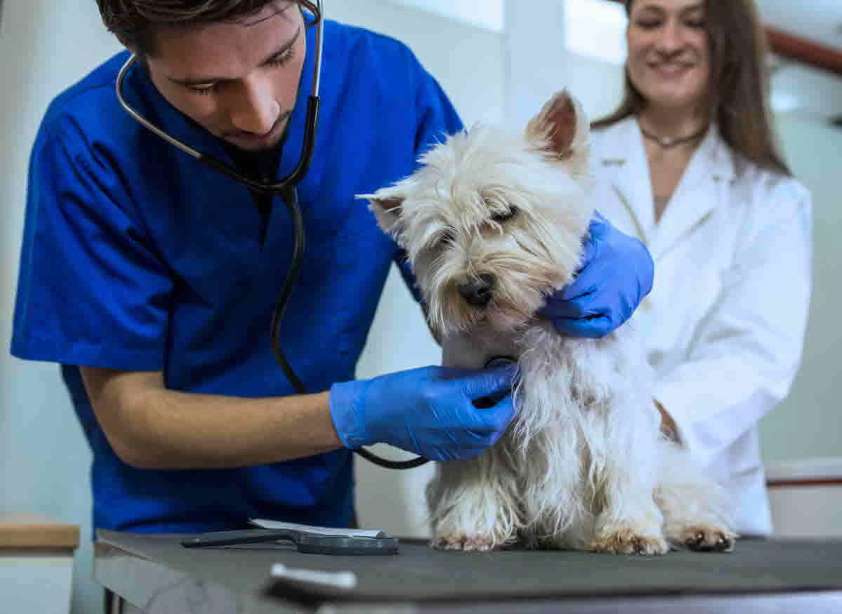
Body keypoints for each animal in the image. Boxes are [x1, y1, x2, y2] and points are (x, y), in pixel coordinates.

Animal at [360, 91, 736, 560]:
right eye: (442, 237)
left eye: (504, 212)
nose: (474, 288)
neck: (531, 318)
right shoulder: (472, 413)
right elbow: (477, 472)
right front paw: (470, 529)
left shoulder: (615, 405)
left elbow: (624, 469)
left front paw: (629, 531)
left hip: (669, 465)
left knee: (682, 492)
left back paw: (703, 530)